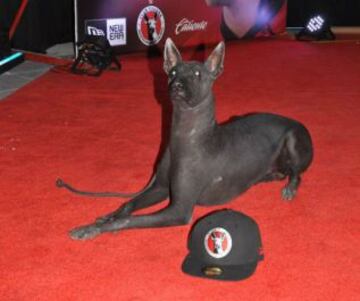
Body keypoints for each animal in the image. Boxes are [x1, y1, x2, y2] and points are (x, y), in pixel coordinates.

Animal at [58, 37, 312, 239]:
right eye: (172, 72)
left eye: (198, 74)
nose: (177, 85)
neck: (185, 138)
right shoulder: (160, 187)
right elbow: (129, 203)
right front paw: (108, 217)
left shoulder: (179, 209)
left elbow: (130, 219)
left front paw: (90, 229)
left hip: (293, 138)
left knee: (296, 172)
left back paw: (290, 187)